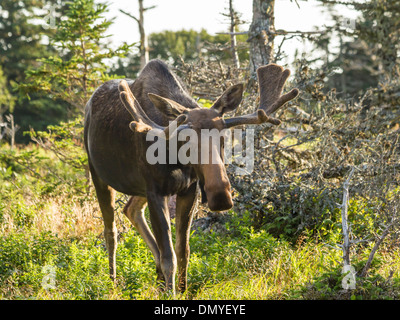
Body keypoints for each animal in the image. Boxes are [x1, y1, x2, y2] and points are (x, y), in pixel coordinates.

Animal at [83, 58, 296, 294]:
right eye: (186, 139)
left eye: (223, 135)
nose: (220, 196)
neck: (175, 158)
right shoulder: (155, 190)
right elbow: (169, 256)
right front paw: (171, 293)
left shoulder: (188, 190)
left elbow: (183, 251)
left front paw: (182, 290)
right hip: (98, 174)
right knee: (110, 230)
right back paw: (112, 282)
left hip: (139, 189)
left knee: (130, 209)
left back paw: (157, 279)